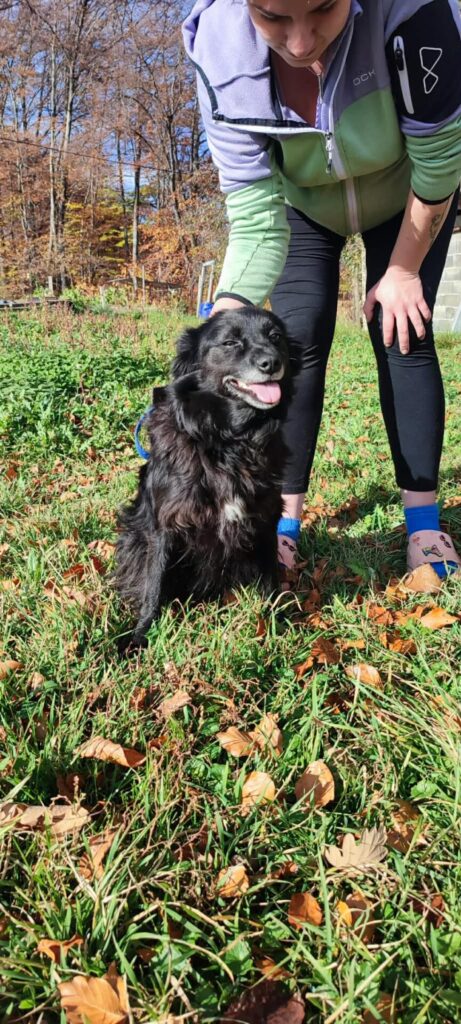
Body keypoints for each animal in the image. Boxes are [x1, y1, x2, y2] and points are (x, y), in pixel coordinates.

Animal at [116, 307, 291, 647]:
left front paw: (277, 624)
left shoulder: (265, 520)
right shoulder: (165, 525)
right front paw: (141, 636)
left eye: (276, 336)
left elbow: (271, 581)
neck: (229, 440)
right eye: (230, 342)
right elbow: (153, 583)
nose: (272, 362)